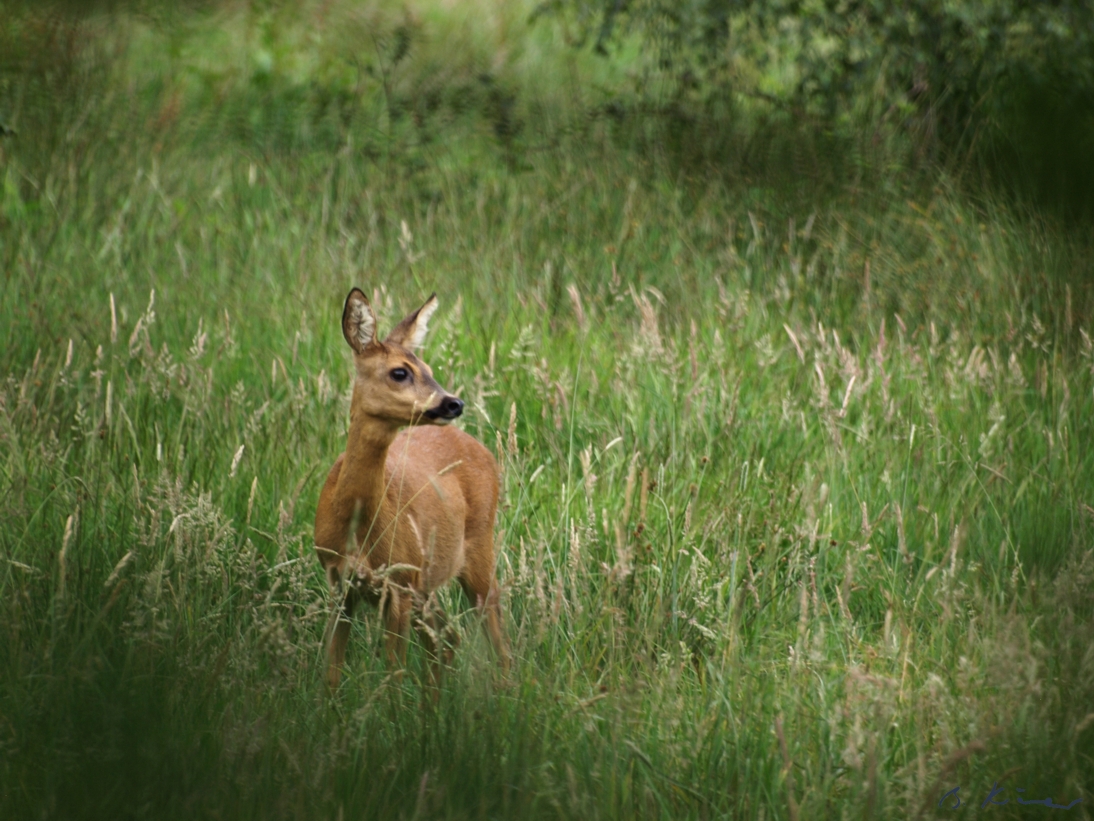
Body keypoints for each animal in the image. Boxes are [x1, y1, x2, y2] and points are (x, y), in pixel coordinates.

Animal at [312, 286, 507, 691]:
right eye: (399, 372)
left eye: (430, 371)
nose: (453, 402)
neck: (356, 520)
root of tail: (483, 450)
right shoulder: (339, 581)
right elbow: (332, 671)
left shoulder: (398, 584)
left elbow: (394, 675)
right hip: (425, 585)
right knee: (448, 638)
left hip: (478, 551)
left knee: (495, 640)